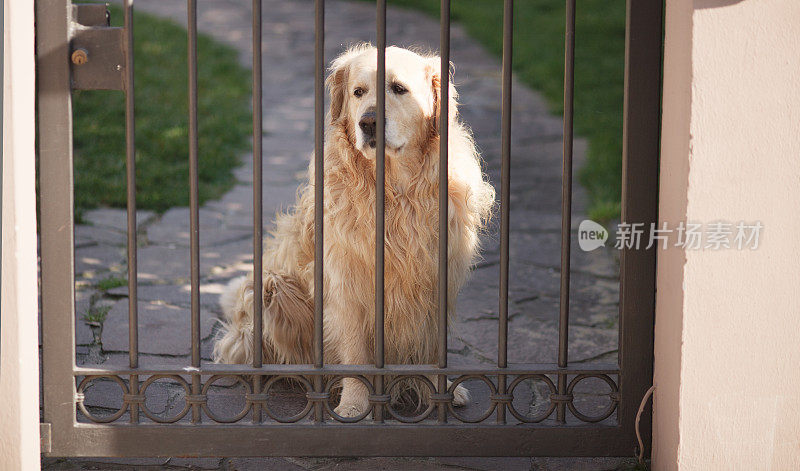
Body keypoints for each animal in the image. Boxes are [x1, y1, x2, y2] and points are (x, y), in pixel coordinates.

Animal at [216, 44, 496, 418]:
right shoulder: (347, 286)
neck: (393, 192)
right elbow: (356, 353)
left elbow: (431, 346)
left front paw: (439, 389)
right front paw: (353, 403)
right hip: (270, 286)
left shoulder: (435, 282)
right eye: (358, 92)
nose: (369, 121)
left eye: (399, 89)